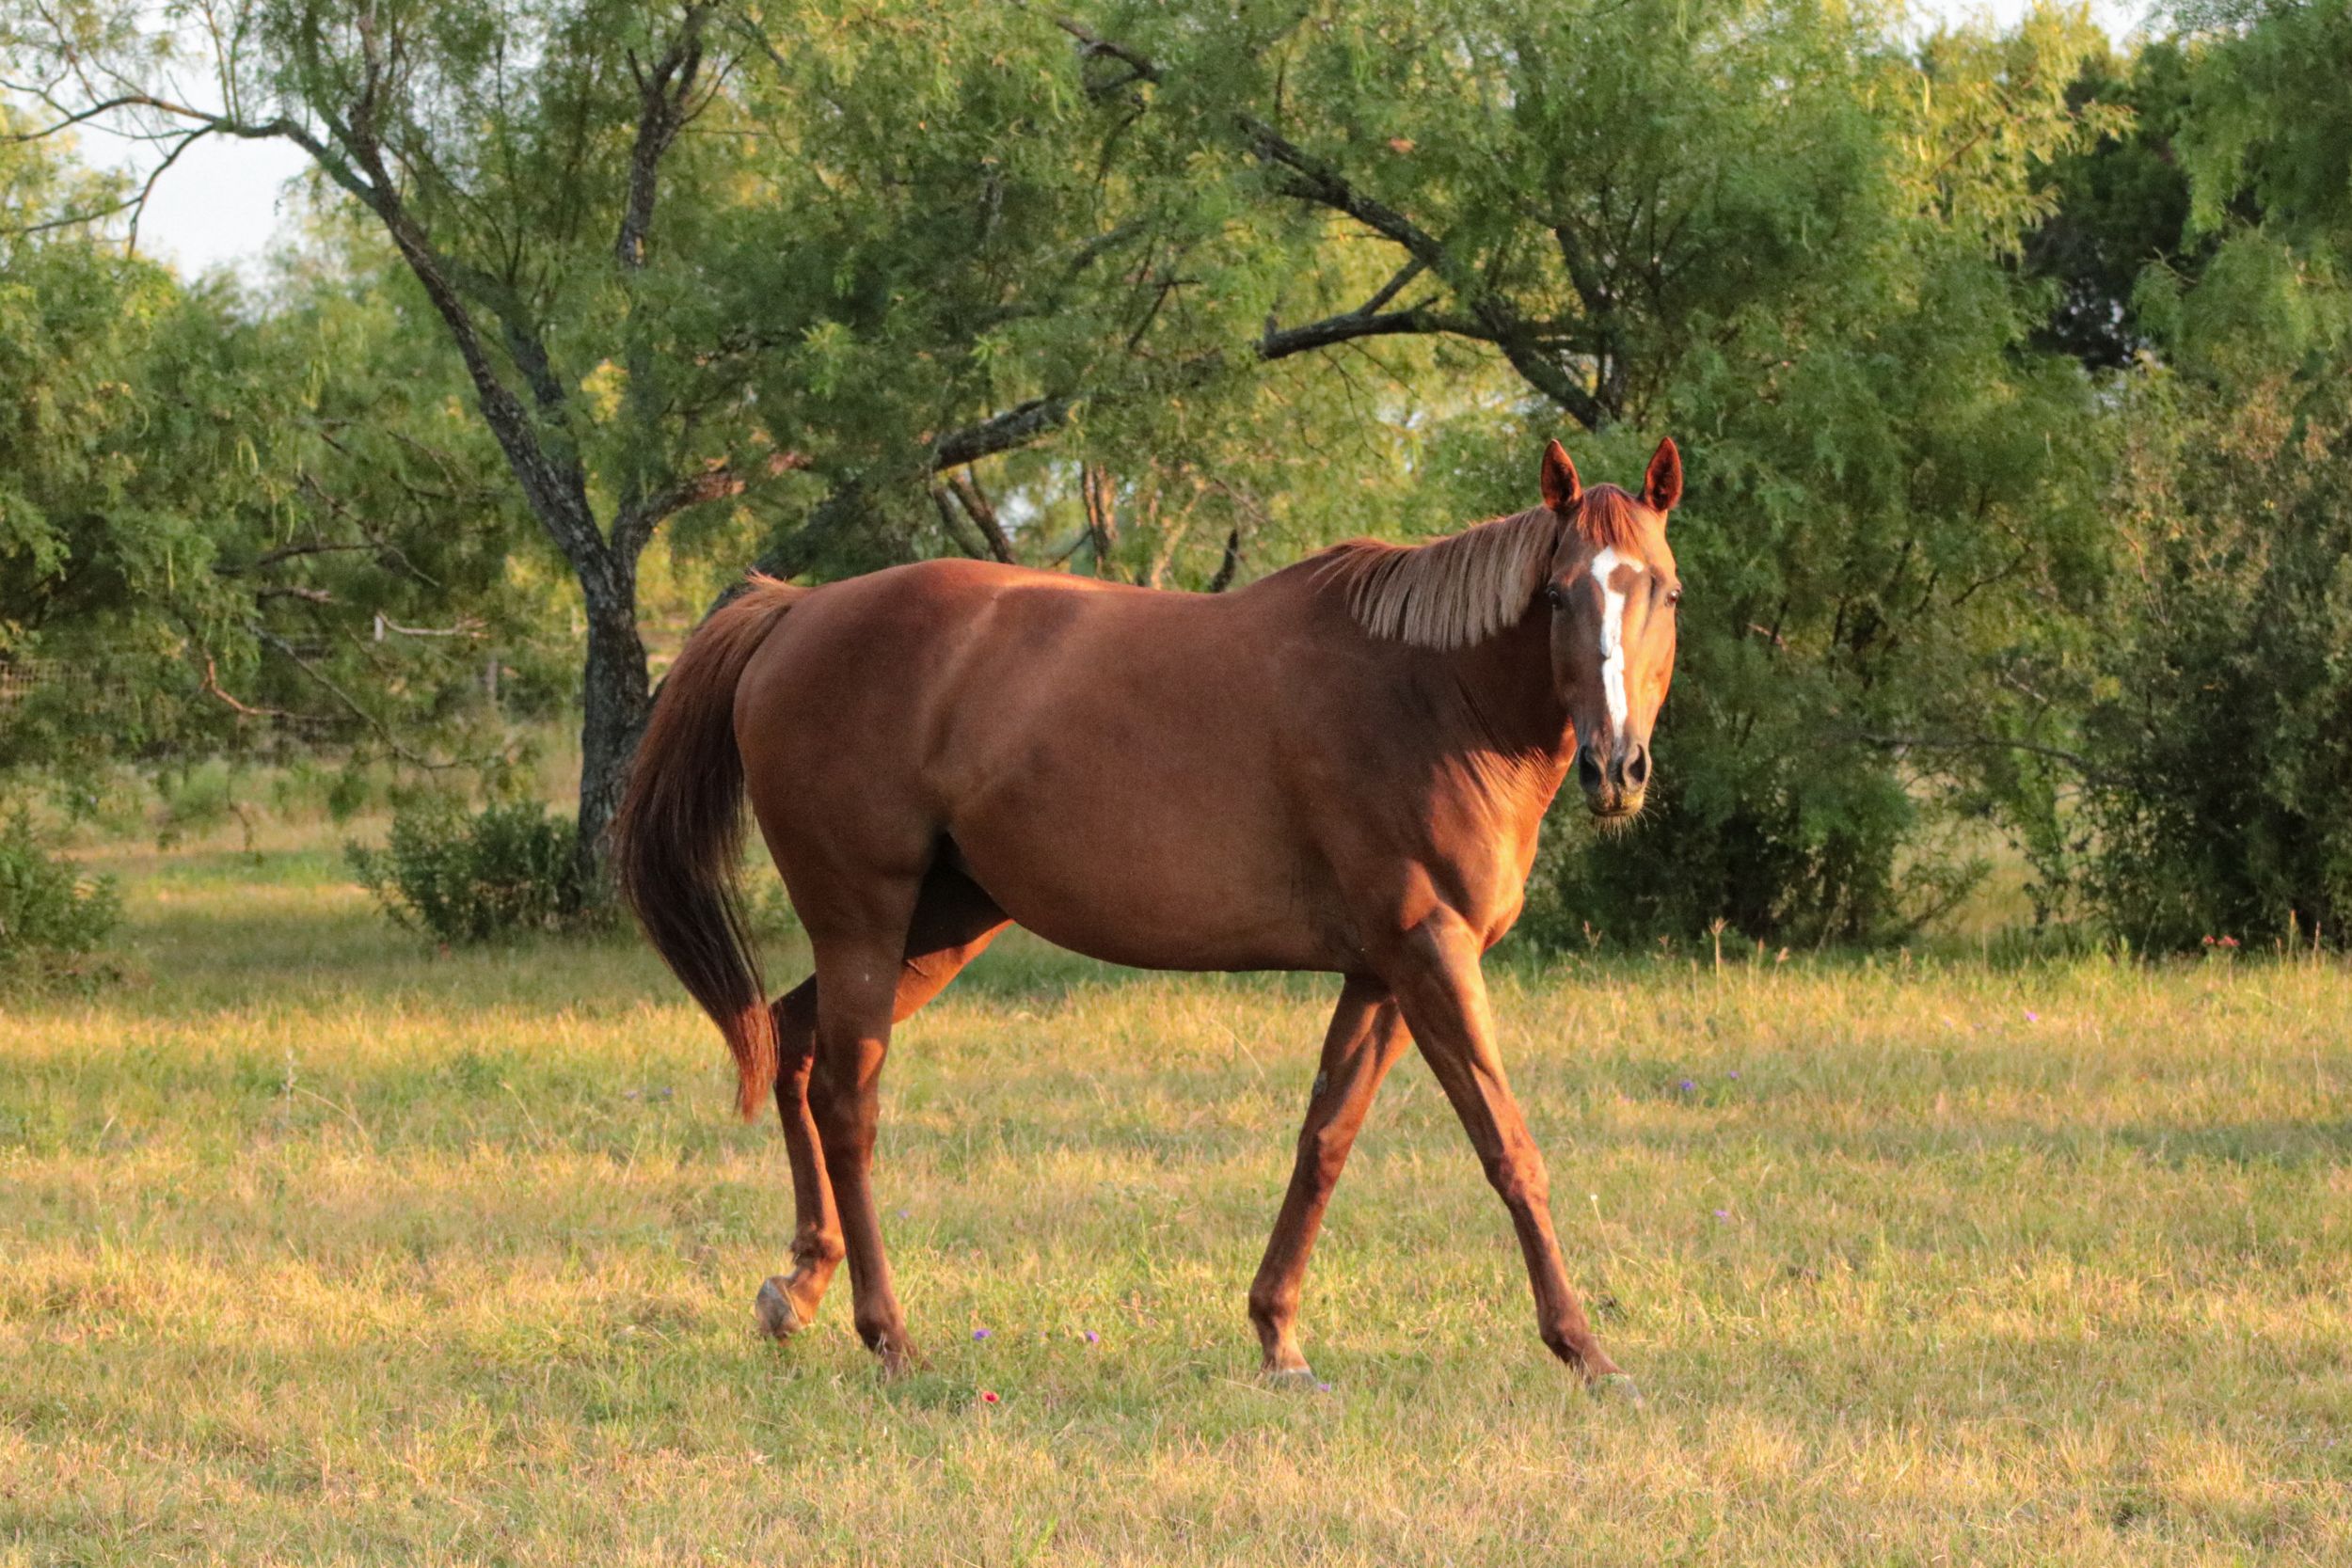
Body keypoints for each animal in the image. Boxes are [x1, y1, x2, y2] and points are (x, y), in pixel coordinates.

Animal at [612, 435, 1685, 1397]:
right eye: (1558, 594)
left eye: (1663, 591)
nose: (1617, 766)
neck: (1432, 695)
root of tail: (796, 609)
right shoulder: (1432, 956)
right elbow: (1509, 1148)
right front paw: (1586, 1349)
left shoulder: (1381, 970)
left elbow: (1324, 1141)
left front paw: (1278, 1337)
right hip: (864, 924)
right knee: (847, 1101)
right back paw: (889, 1335)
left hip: (938, 927)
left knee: (790, 1045)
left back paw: (798, 1285)